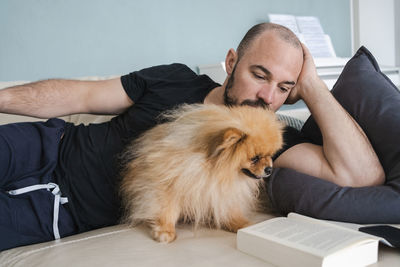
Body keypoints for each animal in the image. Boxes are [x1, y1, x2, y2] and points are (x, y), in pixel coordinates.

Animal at [119, 103, 284, 244]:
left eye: (270, 155)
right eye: (254, 158)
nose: (269, 169)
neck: (214, 169)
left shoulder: (223, 191)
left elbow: (228, 209)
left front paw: (240, 224)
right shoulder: (167, 182)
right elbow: (167, 208)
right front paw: (165, 230)